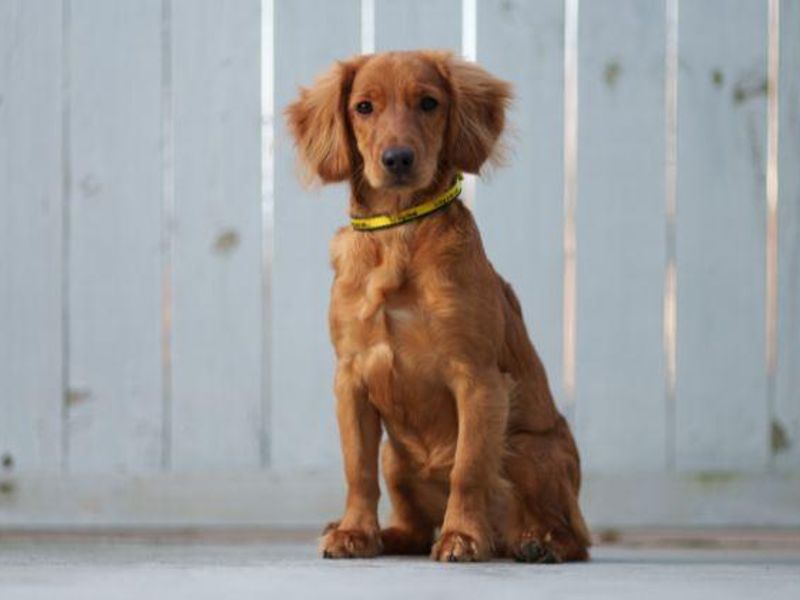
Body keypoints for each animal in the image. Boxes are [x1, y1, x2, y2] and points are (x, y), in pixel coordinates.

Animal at [286, 51, 588, 564]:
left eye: (429, 103)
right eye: (363, 107)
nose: (397, 159)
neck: (397, 233)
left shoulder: (478, 379)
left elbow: (468, 468)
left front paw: (462, 536)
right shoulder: (351, 379)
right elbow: (357, 469)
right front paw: (353, 531)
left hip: (526, 448)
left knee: (577, 538)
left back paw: (539, 543)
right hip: (397, 456)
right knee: (411, 526)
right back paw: (384, 536)